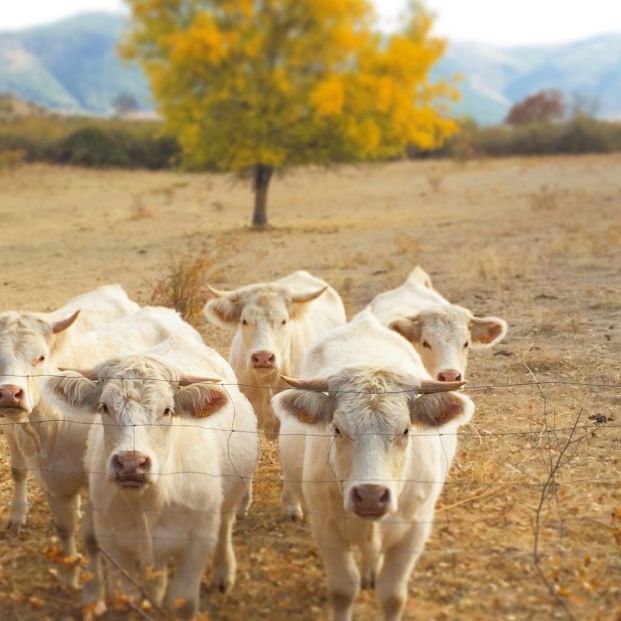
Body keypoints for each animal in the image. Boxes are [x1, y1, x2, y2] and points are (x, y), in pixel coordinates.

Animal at [0, 290, 196, 588]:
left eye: (40, 357)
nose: (10, 394)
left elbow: (92, 537)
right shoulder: (47, 472)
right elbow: (60, 521)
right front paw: (70, 576)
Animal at [49, 332, 260, 616]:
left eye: (167, 410)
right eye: (104, 407)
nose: (131, 463)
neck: (149, 502)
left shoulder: (198, 541)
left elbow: (183, 604)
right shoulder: (114, 545)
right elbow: (127, 600)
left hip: (231, 496)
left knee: (226, 525)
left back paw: (223, 574)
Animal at [274, 314, 472, 620]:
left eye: (406, 430)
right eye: (337, 429)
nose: (370, 496)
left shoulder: (415, 531)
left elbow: (393, 595)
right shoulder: (326, 527)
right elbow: (343, 590)